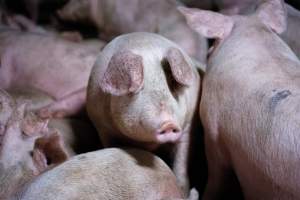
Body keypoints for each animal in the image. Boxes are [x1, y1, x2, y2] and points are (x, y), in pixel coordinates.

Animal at [87, 32, 204, 198]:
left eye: (171, 83)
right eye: (138, 89)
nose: (168, 124)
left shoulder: (188, 126)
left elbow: (181, 163)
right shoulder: (103, 128)